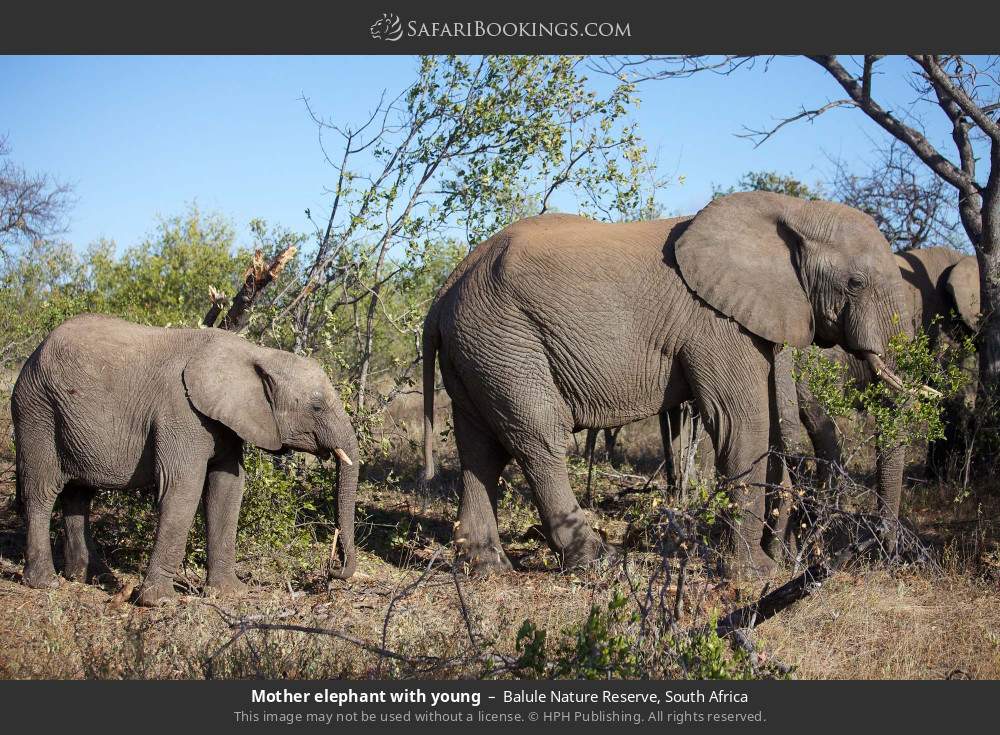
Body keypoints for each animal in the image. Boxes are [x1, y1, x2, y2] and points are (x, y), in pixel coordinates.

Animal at [12, 313, 359, 606]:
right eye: (316, 407)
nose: (331, 569)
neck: (256, 354)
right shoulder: (182, 412)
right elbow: (183, 489)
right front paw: (159, 602)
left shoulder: (225, 420)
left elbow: (227, 489)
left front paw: (229, 593)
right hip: (37, 409)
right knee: (42, 490)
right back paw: (45, 583)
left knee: (79, 494)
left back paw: (91, 577)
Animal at [421, 191, 930, 579]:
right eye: (856, 282)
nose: (883, 554)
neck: (789, 210)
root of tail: (442, 293)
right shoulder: (715, 323)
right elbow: (741, 424)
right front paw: (753, 575)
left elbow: (771, 421)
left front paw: (773, 564)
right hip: (505, 341)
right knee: (540, 439)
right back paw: (601, 563)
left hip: (480, 351)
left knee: (480, 449)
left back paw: (486, 569)